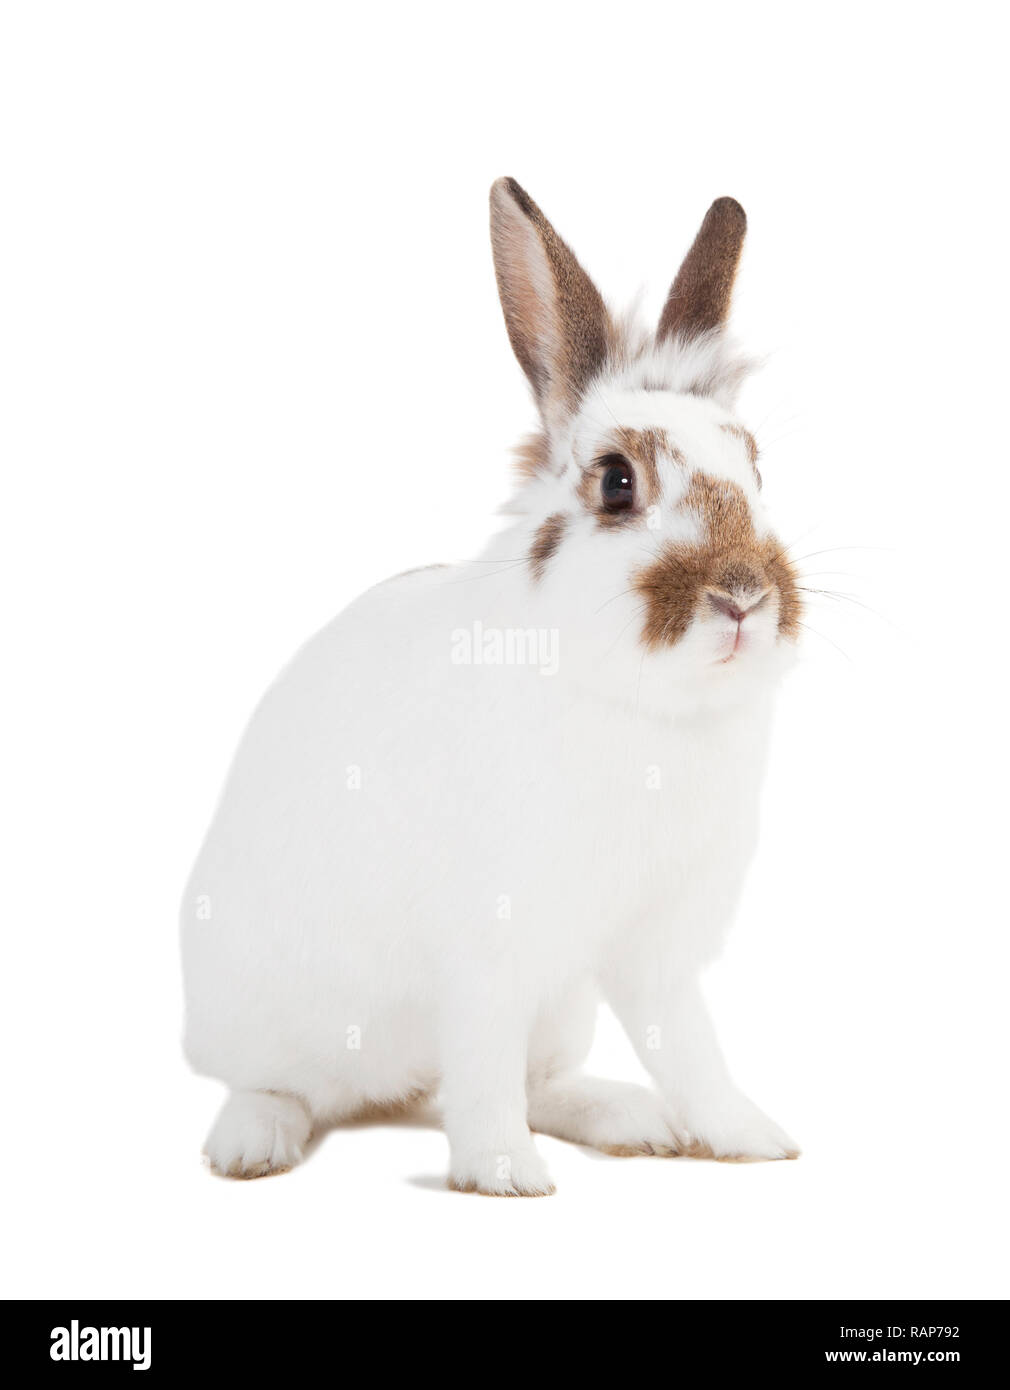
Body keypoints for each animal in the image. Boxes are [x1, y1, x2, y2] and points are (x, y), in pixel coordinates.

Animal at [183, 173, 805, 1195]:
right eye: (618, 482)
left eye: (756, 468)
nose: (745, 597)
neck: (641, 707)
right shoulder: (487, 947)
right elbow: (483, 1061)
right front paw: (504, 1173)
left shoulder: (656, 951)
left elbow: (688, 1046)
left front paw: (748, 1136)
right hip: (262, 1008)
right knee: (279, 1083)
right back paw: (251, 1142)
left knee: (529, 1080)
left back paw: (631, 1120)